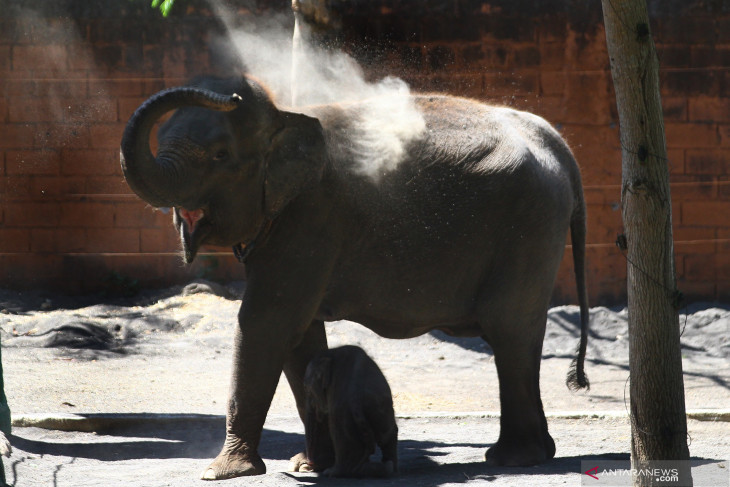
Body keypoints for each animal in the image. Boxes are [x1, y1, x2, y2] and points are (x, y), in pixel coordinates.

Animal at [298, 346, 396, 478]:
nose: (309, 464)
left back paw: (333, 472)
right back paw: (388, 467)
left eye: (306, 388)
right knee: (386, 436)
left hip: (345, 413)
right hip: (379, 405)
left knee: (338, 434)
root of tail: (356, 396)